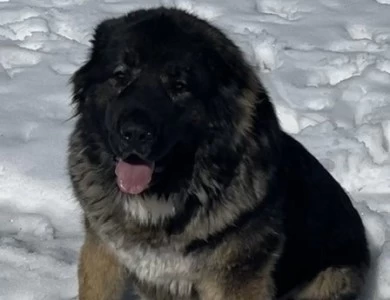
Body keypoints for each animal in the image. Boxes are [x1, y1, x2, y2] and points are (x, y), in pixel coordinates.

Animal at [68, 7, 370, 300]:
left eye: (179, 86)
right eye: (120, 75)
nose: (134, 133)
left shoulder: (236, 278)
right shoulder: (103, 252)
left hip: (332, 276)